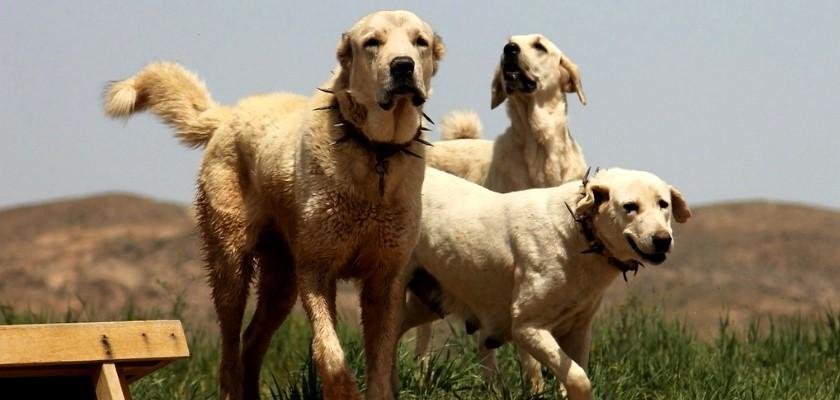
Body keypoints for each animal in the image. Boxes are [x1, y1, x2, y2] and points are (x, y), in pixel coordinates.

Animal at [105, 9, 446, 400]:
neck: (375, 151)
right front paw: (344, 391)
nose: (403, 66)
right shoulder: (316, 269)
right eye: (373, 42)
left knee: (253, 339)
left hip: (282, 277)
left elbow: (380, 366)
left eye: (420, 42)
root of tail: (227, 115)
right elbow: (330, 354)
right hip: (231, 263)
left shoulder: (384, 280)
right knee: (230, 350)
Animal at [400, 167, 688, 398]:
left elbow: (573, 374)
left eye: (663, 204)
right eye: (630, 206)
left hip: (426, 305)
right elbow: (578, 378)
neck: (579, 235)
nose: (663, 239)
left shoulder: (578, 330)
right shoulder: (528, 328)